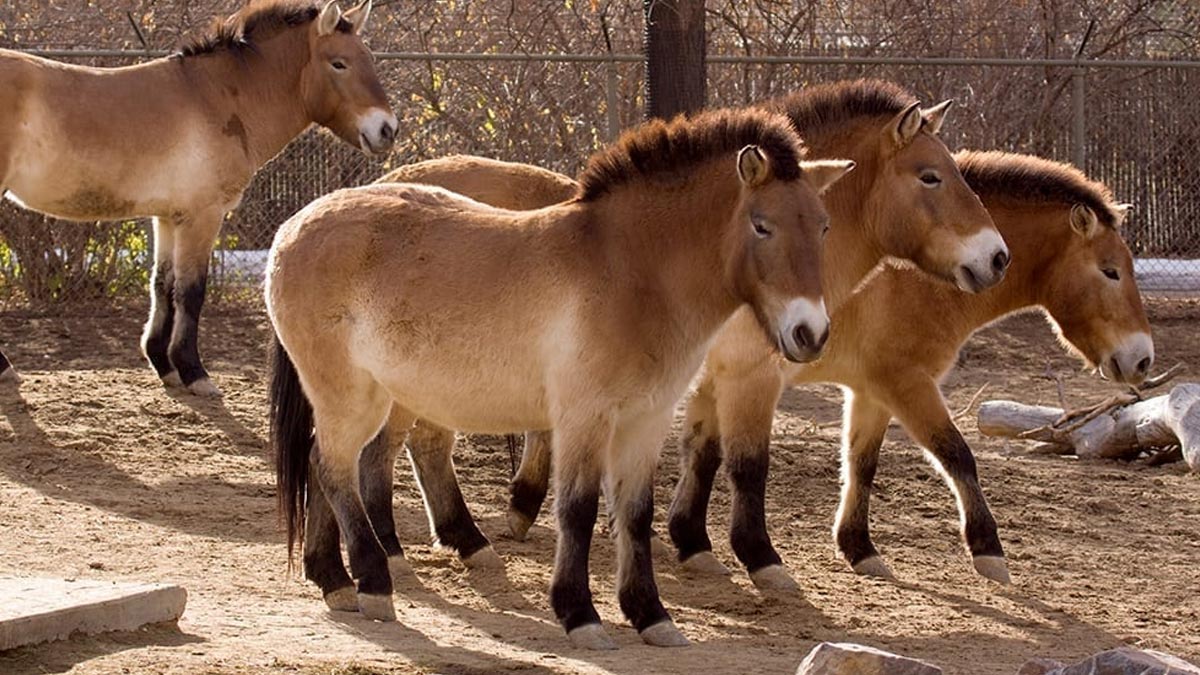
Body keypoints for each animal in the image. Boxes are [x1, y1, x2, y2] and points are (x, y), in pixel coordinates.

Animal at [0, 0, 397, 396]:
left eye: (369, 58)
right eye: (339, 63)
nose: (387, 129)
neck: (215, 98)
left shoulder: (168, 216)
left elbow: (163, 286)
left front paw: (164, 365)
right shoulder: (203, 215)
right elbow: (192, 291)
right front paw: (195, 372)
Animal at [266, 108, 853, 649]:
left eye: (824, 225)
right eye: (762, 224)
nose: (810, 333)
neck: (631, 273)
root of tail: (293, 227)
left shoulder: (645, 420)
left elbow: (634, 514)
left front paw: (651, 616)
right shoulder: (583, 418)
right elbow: (578, 510)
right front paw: (580, 615)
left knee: (323, 465)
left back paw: (335, 581)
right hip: (352, 397)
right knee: (335, 469)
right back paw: (373, 584)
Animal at [300, 79, 1010, 592]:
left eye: (825, 223)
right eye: (930, 175)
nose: (995, 257)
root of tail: (387, 182)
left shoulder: (697, 383)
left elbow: (702, 455)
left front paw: (689, 544)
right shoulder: (748, 377)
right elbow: (746, 465)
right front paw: (758, 559)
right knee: (387, 451)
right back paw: (404, 551)